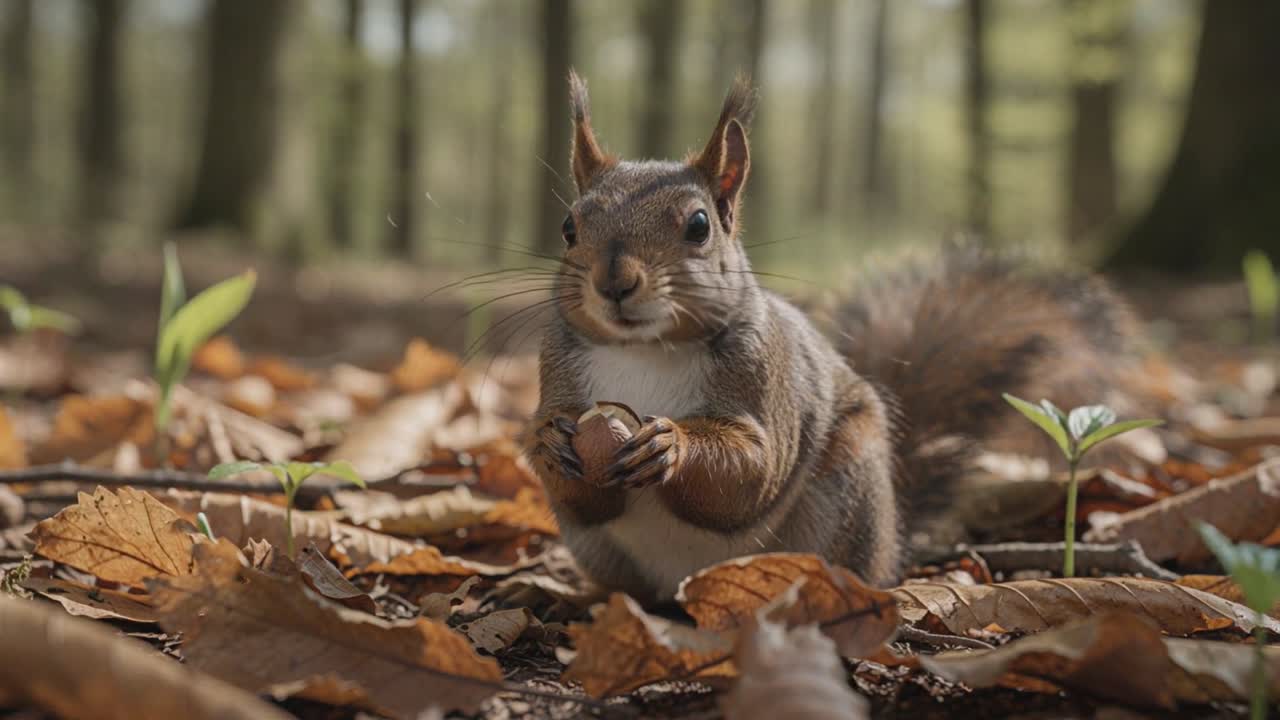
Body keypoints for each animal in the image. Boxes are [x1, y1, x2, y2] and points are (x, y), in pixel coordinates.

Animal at [525, 72, 1148, 604]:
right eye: (569, 227)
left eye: (699, 226)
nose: (614, 283)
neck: (646, 350)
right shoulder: (557, 367)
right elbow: (580, 486)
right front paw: (550, 443)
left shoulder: (766, 376)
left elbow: (753, 471)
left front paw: (669, 443)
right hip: (593, 547)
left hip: (847, 495)